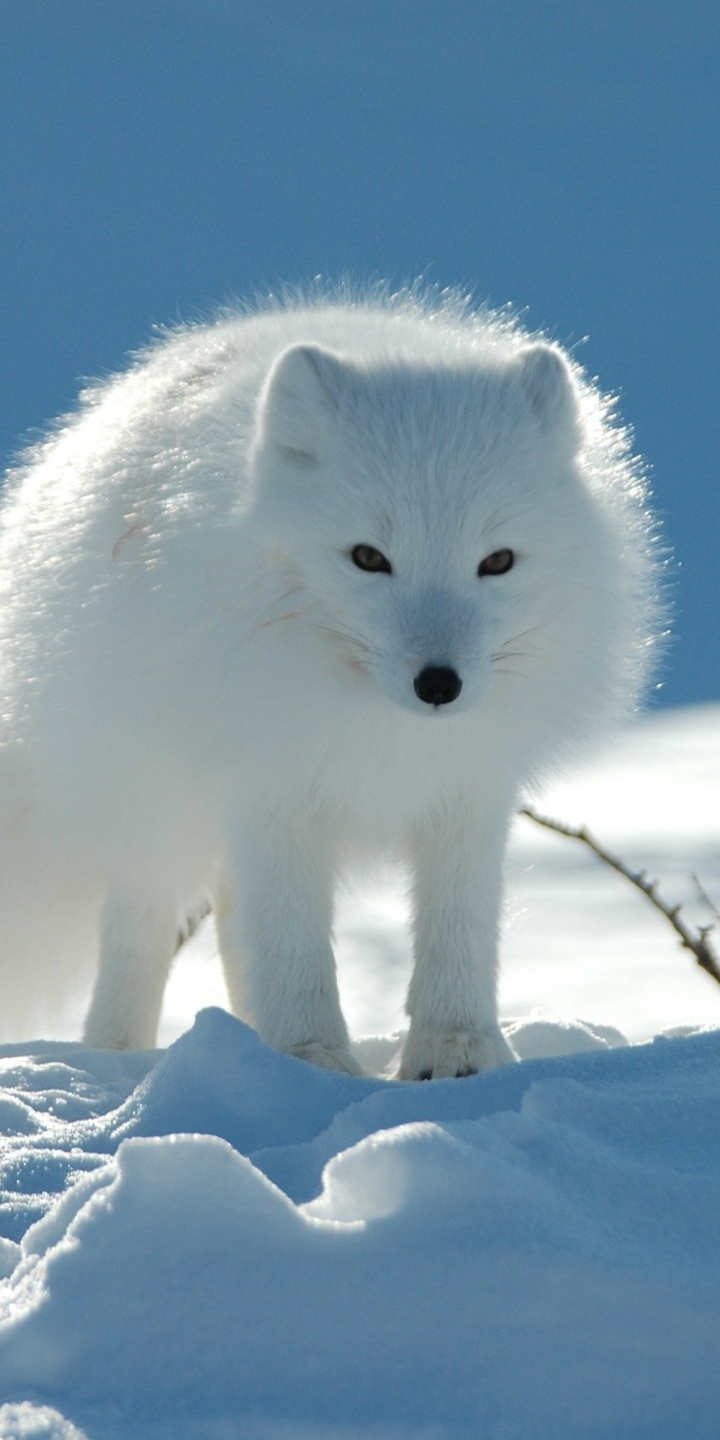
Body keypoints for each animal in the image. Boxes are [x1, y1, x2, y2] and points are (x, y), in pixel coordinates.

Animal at [0, 292, 659, 1077]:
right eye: (369, 557)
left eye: (497, 561)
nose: (440, 684)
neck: (383, 730)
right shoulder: (270, 784)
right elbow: (293, 945)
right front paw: (311, 1059)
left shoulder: (469, 788)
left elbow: (459, 928)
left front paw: (457, 1053)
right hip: (153, 800)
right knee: (143, 926)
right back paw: (120, 1057)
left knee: (231, 925)